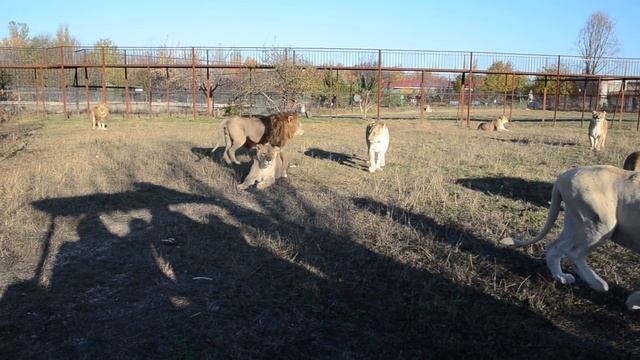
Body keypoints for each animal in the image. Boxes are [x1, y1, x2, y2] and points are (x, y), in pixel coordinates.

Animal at [502, 166, 640, 310]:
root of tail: (563, 177)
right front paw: (633, 302)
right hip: (601, 224)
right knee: (574, 253)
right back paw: (598, 284)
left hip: (576, 223)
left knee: (554, 247)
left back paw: (561, 277)